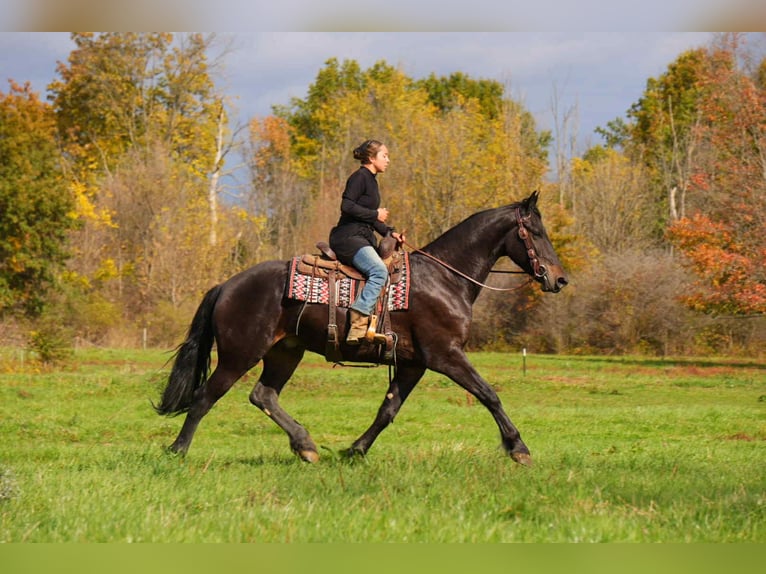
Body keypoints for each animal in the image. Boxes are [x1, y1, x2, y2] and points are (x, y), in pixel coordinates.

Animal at [155, 190, 568, 466]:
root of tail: (227, 285)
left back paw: (306, 446)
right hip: (240, 354)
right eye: (536, 231)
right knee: (205, 398)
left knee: (263, 396)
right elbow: (489, 394)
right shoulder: (446, 356)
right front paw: (519, 448)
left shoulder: (414, 364)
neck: (445, 278)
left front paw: (355, 450)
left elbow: (388, 410)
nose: (560, 279)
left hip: (285, 351)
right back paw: (177, 451)